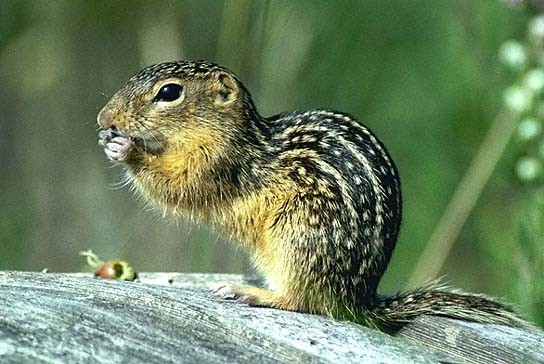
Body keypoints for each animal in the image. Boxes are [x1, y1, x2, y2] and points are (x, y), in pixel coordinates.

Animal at [96, 59, 528, 330]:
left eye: (169, 92)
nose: (104, 118)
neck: (239, 134)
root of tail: (357, 300)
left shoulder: (217, 164)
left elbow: (178, 187)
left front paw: (126, 149)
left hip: (298, 233)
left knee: (303, 302)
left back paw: (248, 292)